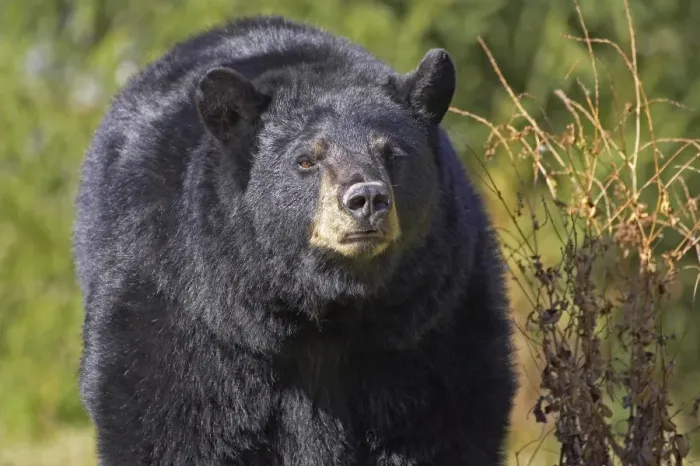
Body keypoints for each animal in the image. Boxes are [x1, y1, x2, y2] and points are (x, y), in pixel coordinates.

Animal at [72, 15, 517, 466]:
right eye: (306, 160)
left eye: (392, 153)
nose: (367, 199)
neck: (321, 306)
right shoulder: (185, 305)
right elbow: (168, 422)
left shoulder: (432, 319)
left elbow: (443, 420)